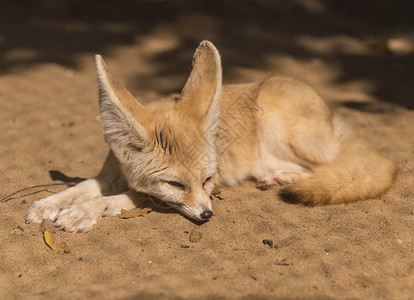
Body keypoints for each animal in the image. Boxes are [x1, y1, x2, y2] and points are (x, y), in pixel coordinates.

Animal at [25, 40, 394, 232]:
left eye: (207, 180)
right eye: (176, 183)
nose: (207, 215)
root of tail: (335, 121)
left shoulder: (156, 194)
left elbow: (121, 199)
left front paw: (83, 212)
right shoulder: (109, 176)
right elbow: (78, 187)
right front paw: (49, 204)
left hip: (280, 126)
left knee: (330, 167)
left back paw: (284, 178)